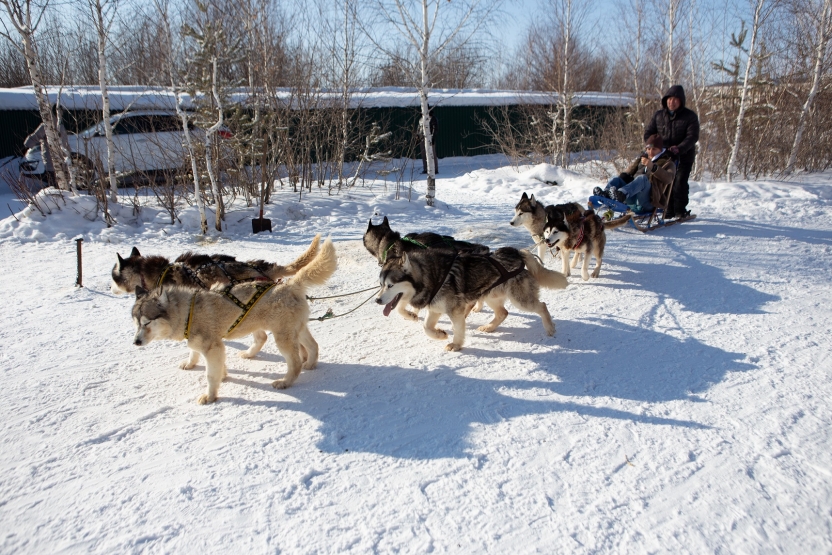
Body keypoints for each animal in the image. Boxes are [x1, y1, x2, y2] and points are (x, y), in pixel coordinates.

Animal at [132, 238, 336, 404]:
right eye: (136, 322)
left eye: (147, 322)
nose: (136, 342)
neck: (189, 310)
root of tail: (289, 285)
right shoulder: (210, 346)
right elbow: (197, 355)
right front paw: (197, 366)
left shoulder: (213, 348)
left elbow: (210, 375)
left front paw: (210, 396)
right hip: (296, 330)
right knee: (312, 345)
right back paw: (310, 364)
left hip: (283, 337)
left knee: (294, 363)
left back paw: (285, 381)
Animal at [376, 248, 564, 352]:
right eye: (381, 284)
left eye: (390, 285)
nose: (377, 300)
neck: (435, 276)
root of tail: (518, 253)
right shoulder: (435, 309)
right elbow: (426, 327)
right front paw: (440, 334)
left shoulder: (455, 312)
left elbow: (458, 330)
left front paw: (456, 345)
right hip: (490, 296)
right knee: (503, 313)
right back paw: (489, 327)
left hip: (520, 300)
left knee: (542, 306)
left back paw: (550, 328)